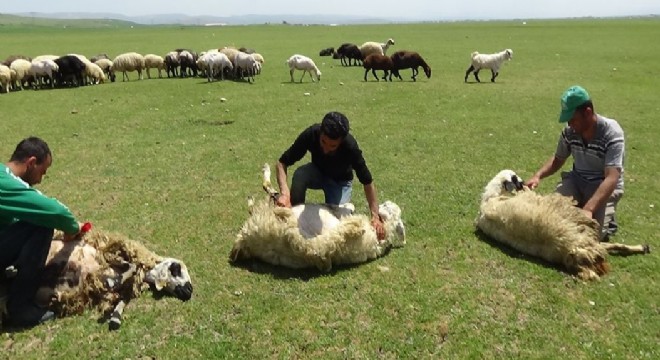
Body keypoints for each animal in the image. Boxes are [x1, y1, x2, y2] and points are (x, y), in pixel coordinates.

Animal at [0, 228, 193, 330]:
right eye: (176, 268)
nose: (189, 291)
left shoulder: (119, 290)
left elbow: (122, 300)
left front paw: (115, 318)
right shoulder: (109, 253)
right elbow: (130, 266)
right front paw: (114, 280)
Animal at [474, 169, 648, 282]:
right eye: (515, 179)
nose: (523, 184)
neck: (489, 199)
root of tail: (570, 249)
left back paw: (643, 247)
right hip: (586, 237)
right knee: (607, 251)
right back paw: (642, 247)